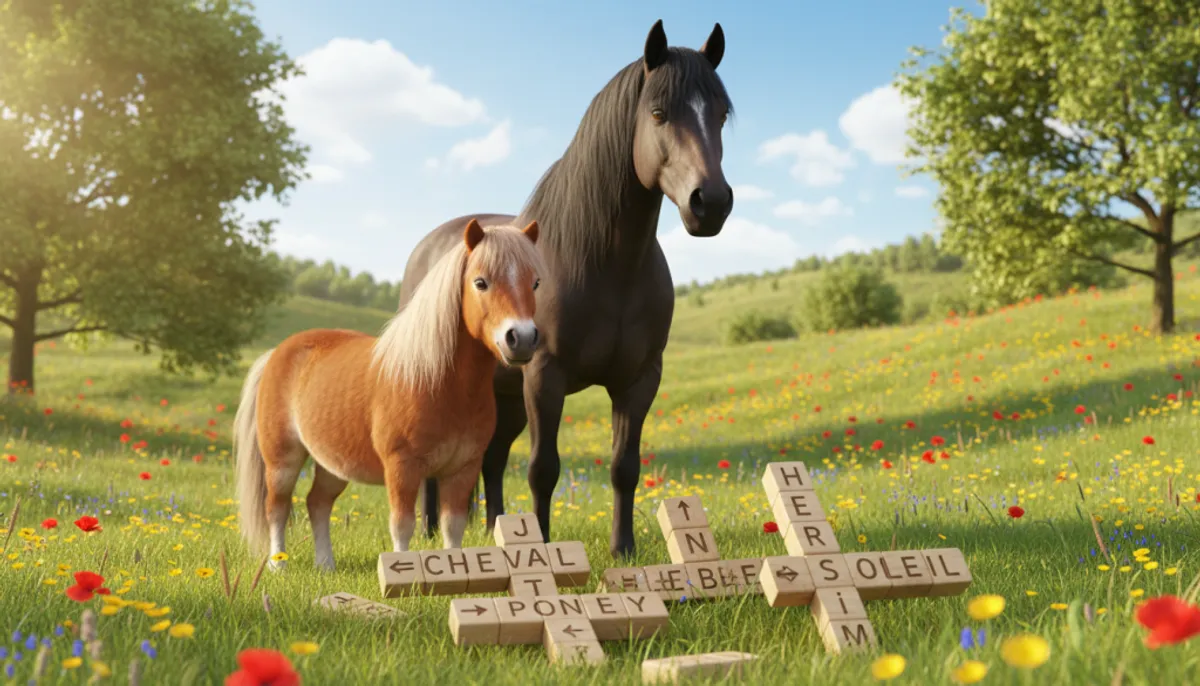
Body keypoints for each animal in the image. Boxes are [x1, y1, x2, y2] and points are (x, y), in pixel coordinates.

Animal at [232, 220, 545, 570]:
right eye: (481, 282)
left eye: (535, 282)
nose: (522, 338)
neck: (439, 383)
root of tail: (276, 353)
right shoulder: (402, 468)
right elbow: (402, 525)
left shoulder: (462, 469)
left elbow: (453, 526)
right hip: (282, 459)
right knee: (277, 507)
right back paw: (278, 565)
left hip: (333, 464)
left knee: (317, 503)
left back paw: (325, 565)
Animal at [396, 20, 734, 558]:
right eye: (658, 113)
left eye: (721, 114)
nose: (712, 203)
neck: (605, 265)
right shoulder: (544, 376)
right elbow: (543, 469)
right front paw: (543, 549)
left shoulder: (639, 380)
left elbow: (624, 466)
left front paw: (622, 550)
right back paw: (430, 531)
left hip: (505, 398)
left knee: (491, 460)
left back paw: (493, 528)